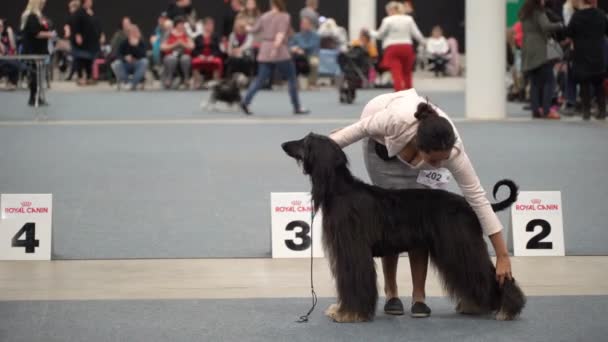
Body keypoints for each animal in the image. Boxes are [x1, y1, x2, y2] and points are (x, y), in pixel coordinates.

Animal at [282, 134, 524, 324]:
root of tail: (468, 204)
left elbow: (354, 281)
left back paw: (508, 308)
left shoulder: (353, 251)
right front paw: (341, 310)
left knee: (489, 273)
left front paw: (348, 313)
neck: (340, 190)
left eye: (305, 141)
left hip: (461, 244)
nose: (284, 144)